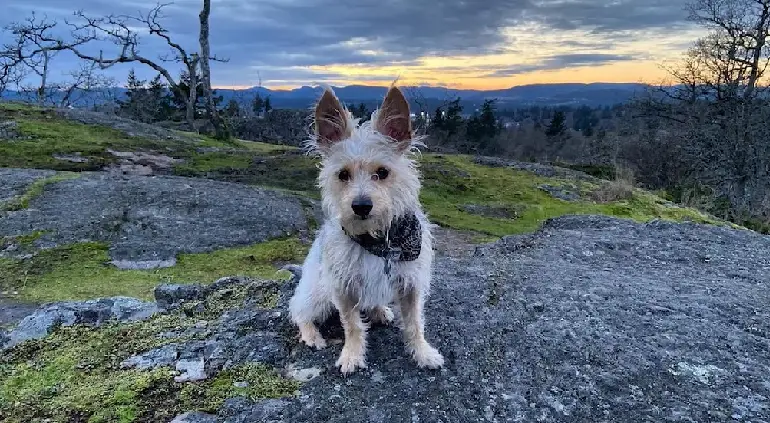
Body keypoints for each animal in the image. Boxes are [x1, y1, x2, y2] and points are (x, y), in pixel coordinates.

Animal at [286, 84, 444, 376]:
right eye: (342, 175)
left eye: (382, 172)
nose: (361, 206)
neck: (378, 239)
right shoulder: (342, 288)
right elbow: (352, 325)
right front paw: (352, 355)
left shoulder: (411, 284)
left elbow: (415, 323)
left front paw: (422, 353)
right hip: (318, 293)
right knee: (298, 310)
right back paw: (311, 335)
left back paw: (380, 310)